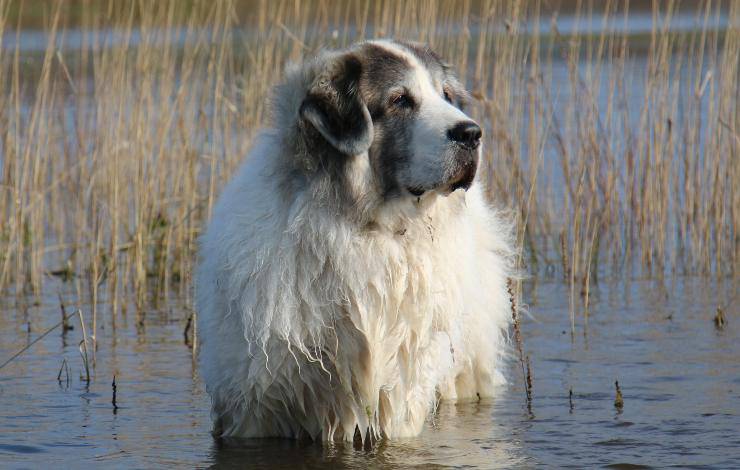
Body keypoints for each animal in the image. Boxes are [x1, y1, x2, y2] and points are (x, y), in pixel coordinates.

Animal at [199, 38, 516, 442]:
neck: (369, 228)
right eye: (400, 100)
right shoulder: (255, 407)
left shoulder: (398, 396)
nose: (472, 133)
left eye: (445, 95)